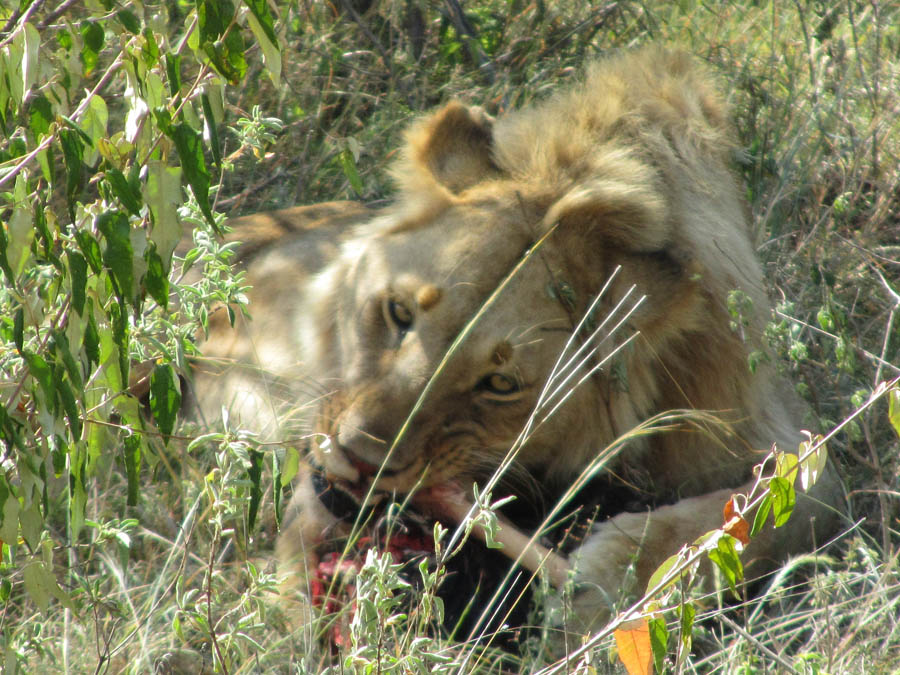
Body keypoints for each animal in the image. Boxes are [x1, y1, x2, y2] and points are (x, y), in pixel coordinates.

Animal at [192, 47, 844, 640]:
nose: (356, 457)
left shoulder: (782, 440)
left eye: (500, 384)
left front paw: (603, 592)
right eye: (398, 312)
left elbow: (767, 511)